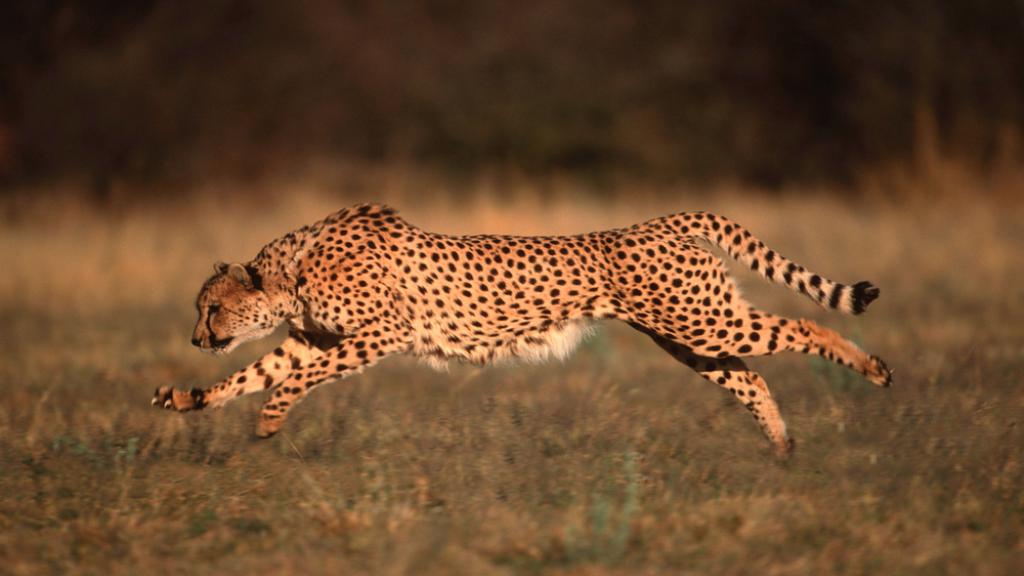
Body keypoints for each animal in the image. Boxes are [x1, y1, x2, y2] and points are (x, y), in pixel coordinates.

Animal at [153, 203, 891, 457]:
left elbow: (295, 379)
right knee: (750, 377)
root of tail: (662, 220)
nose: (194, 339)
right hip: (688, 335)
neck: (293, 268)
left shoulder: (380, 333)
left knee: (801, 322)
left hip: (704, 320)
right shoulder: (315, 336)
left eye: (211, 310)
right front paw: (186, 398)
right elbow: (251, 373)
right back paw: (782, 444)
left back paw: (874, 368)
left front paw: (271, 418)